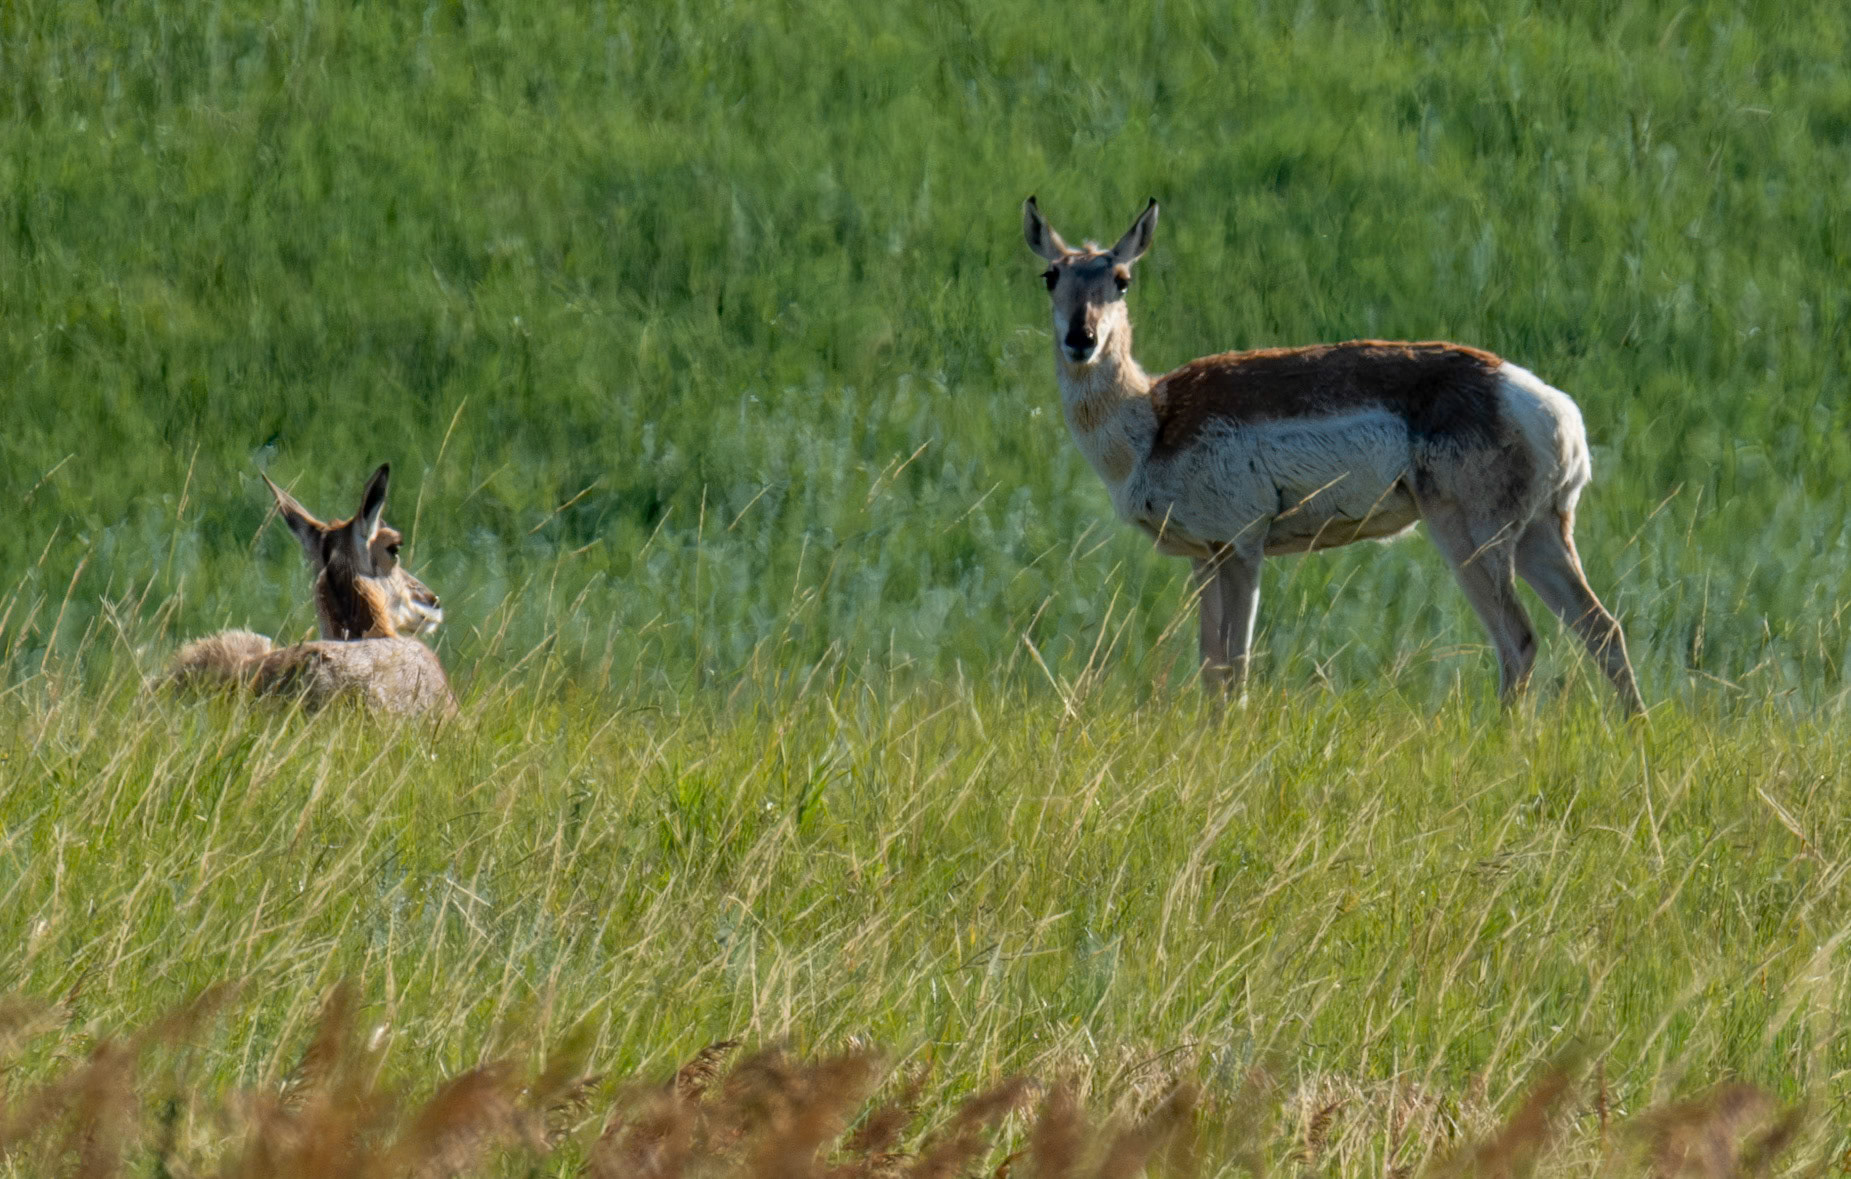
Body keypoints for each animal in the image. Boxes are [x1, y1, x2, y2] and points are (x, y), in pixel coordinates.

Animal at [1023, 197, 1644, 714]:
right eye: (1051, 275)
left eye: (1122, 280)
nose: (1081, 338)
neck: (1153, 418)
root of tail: (1545, 403)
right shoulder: (1204, 558)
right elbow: (1210, 670)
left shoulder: (1242, 548)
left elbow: (1235, 669)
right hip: (1539, 535)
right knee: (1604, 631)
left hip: (1471, 538)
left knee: (1519, 640)